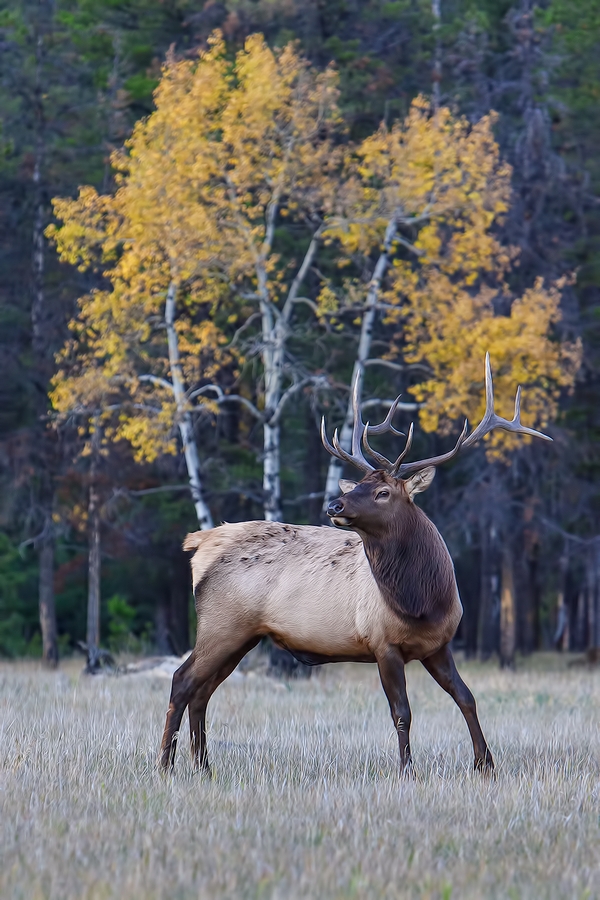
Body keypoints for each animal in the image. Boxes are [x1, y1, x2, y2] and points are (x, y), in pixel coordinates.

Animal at [161, 356, 552, 776]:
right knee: (182, 679)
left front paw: (485, 764)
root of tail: (200, 542)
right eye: (358, 486)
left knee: (203, 691)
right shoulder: (383, 643)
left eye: (382, 492)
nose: (334, 505)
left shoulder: (439, 645)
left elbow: (466, 697)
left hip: (241, 635)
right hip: (222, 624)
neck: (424, 602)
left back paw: (203, 766)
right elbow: (402, 712)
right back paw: (165, 764)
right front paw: (407, 770)